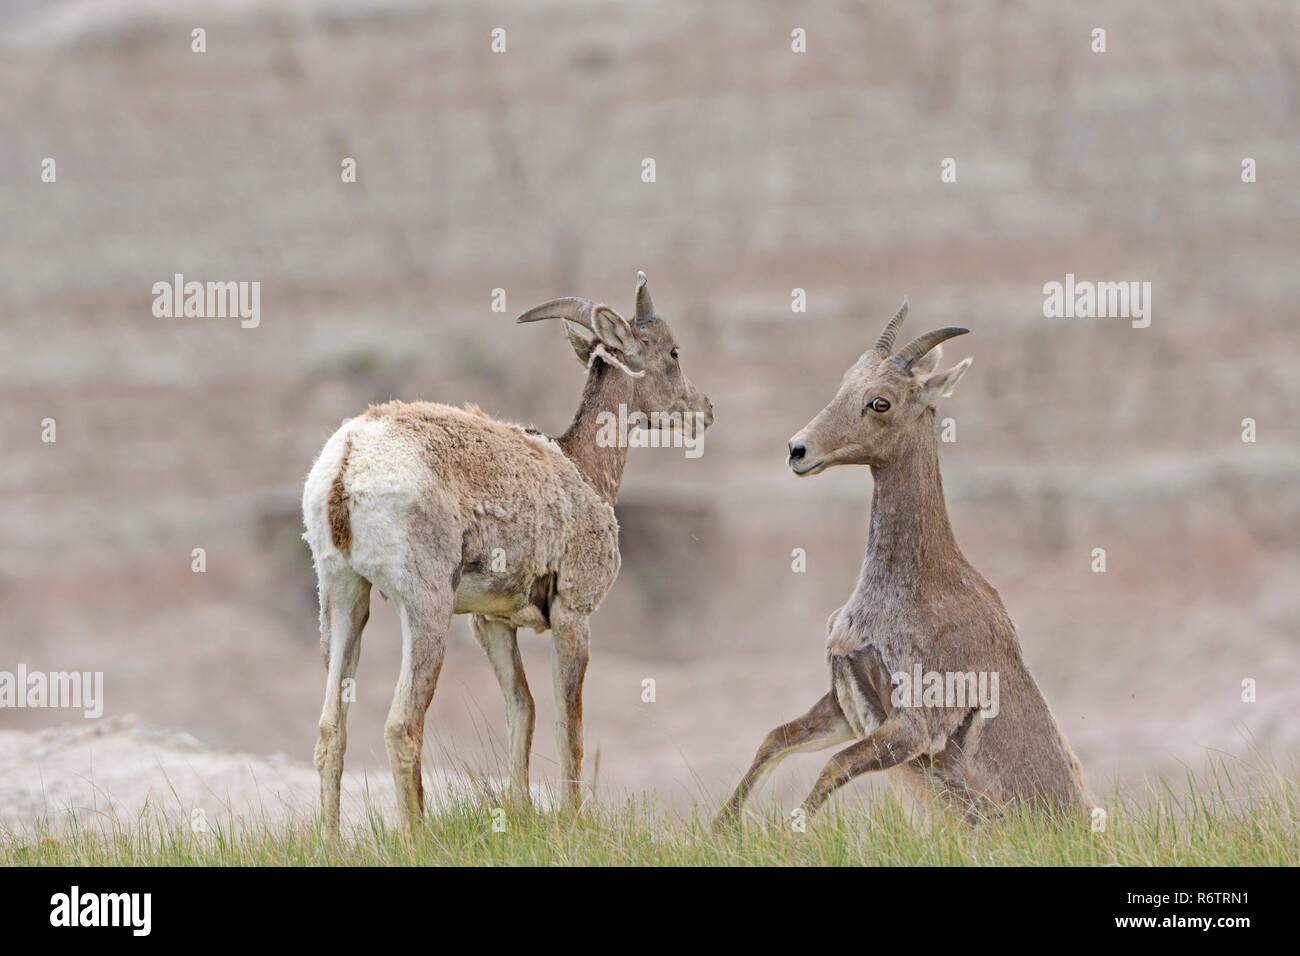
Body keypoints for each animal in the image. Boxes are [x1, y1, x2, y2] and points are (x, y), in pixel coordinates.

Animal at [301, 273, 712, 832]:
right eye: (672, 350)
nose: (705, 411)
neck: (583, 468)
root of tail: (348, 461)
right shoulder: (572, 614)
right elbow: (568, 723)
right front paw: (571, 822)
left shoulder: (493, 623)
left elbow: (523, 709)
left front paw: (520, 813)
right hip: (426, 607)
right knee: (402, 726)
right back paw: (416, 839)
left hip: (344, 598)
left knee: (330, 731)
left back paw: (332, 841)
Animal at [717, 300, 1081, 832]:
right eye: (845, 382)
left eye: (881, 403)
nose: (797, 450)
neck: (908, 589)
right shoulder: (845, 706)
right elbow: (777, 739)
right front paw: (720, 828)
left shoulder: (911, 727)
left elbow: (836, 765)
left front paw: (790, 835)